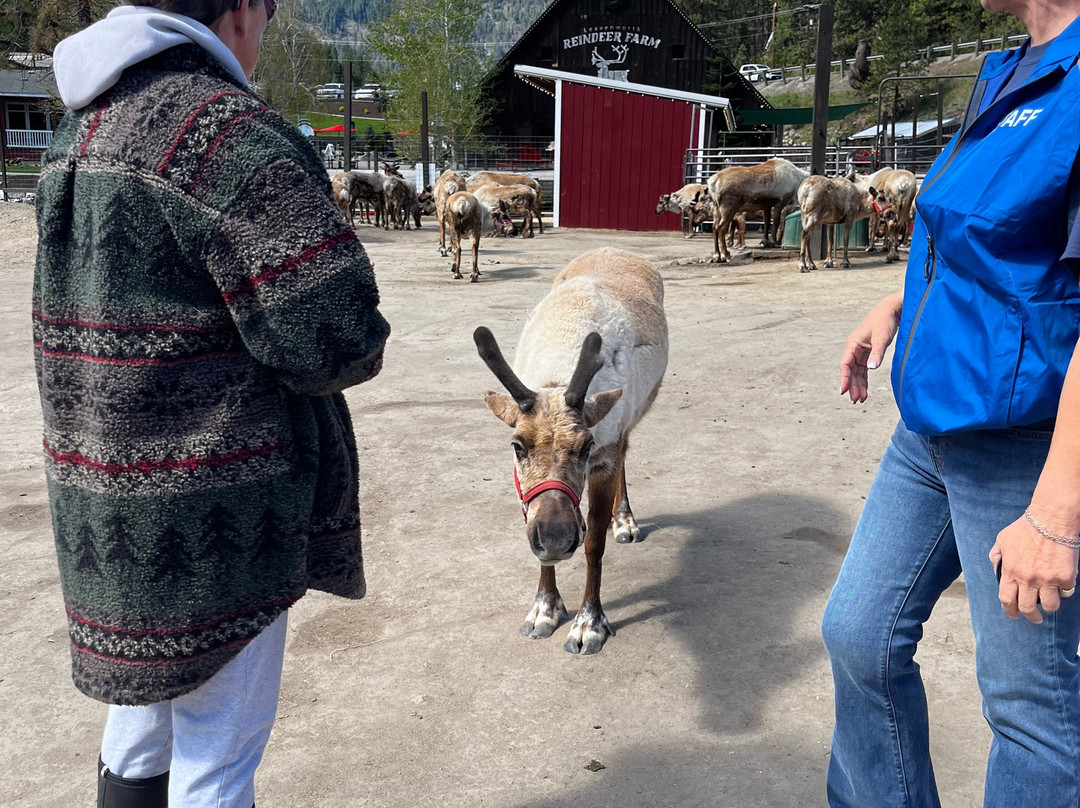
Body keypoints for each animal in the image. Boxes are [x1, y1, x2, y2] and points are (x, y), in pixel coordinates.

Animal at [474, 247, 668, 655]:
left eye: (585, 445)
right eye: (517, 445)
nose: (555, 538)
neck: (557, 381)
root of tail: (616, 250)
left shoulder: (606, 451)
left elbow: (594, 544)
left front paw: (588, 623)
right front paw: (544, 608)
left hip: (635, 412)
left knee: (627, 455)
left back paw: (623, 520)